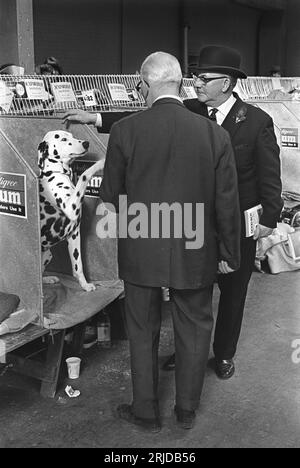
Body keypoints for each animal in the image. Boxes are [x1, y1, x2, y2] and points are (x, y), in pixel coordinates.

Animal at [38, 130, 105, 290]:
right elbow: (85, 175)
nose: (86, 143)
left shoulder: (74, 233)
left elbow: (78, 266)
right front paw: (100, 164)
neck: (56, 174)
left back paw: (47, 279)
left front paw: (85, 285)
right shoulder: (71, 208)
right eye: (63, 139)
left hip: (48, 255)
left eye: (72, 136)